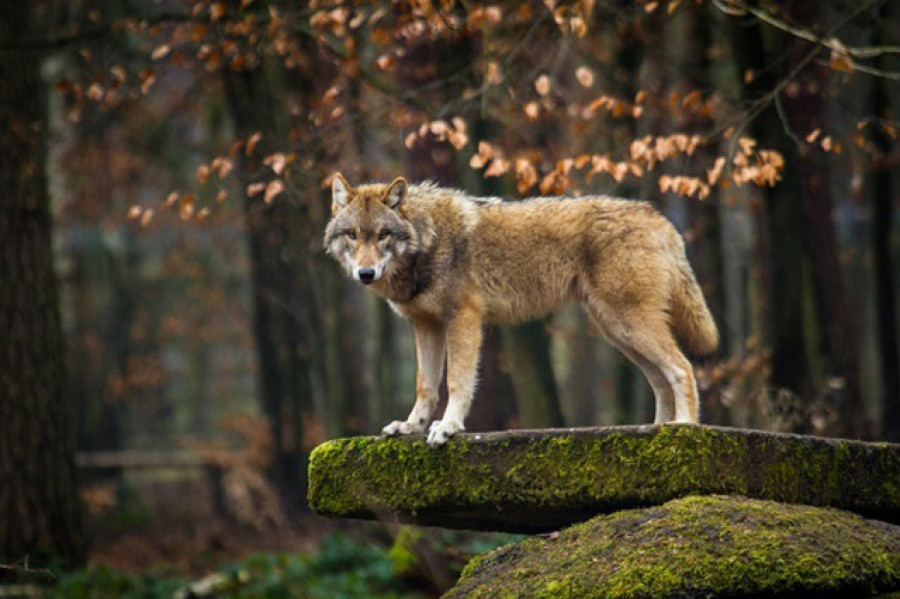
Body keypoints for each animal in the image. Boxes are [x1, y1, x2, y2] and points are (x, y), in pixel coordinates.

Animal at [324, 172, 716, 446]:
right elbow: (426, 385)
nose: (365, 273)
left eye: (382, 235)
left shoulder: (463, 319)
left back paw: (684, 427)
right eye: (353, 235)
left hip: (629, 326)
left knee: (682, 369)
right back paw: (657, 429)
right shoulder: (426, 326)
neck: (427, 239)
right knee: (660, 379)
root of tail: (660, 219)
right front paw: (410, 427)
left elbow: (456, 381)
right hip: (617, 331)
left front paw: (448, 427)